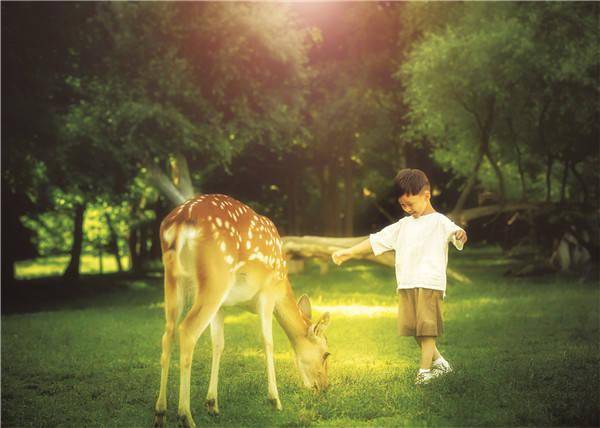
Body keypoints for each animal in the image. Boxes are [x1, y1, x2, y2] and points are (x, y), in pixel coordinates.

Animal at [150, 195, 328, 428]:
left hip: (172, 280)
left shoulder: (222, 307)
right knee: (187, 331)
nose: (325, 387)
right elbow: (268, 342)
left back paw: (160, 413)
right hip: (215, 280)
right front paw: (275, 400)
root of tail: (179, 222)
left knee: (167, 334)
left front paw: (212, 404)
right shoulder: (267, 293)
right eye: (326, 354)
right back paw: (185, 416)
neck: (283, 286)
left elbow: (218, 344)